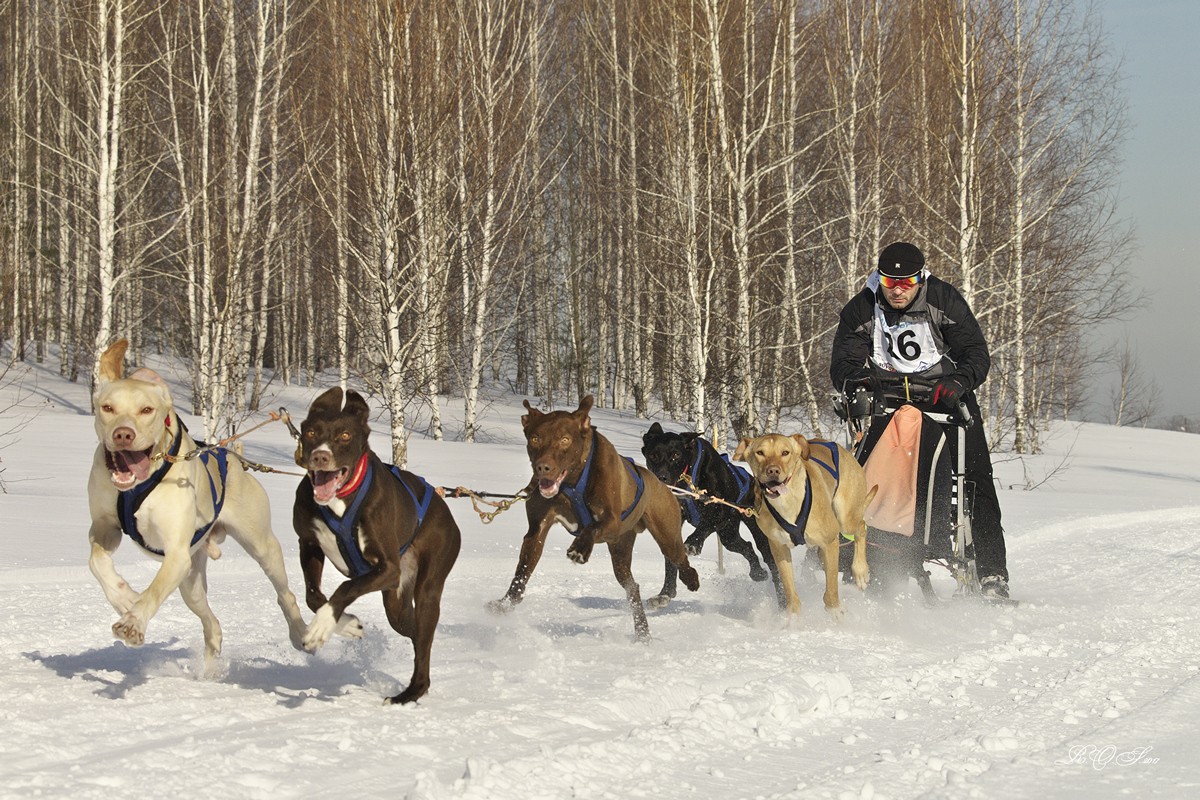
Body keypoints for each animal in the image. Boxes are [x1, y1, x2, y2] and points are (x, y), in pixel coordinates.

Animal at [87, 340, 307, 666]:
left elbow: (153, 591)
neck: (135, 488)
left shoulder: (176, 554)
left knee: (285, 594)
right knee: (211, 622)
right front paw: (125, 597)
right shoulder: (105, 529)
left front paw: (133, 621)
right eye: (108, 408)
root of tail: (234, 459)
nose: (123, 434)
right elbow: (97, 562)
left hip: (261, 547)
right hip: (190, 582)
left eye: (147, 410)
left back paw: (300, 632)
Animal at [290, 388, 458, 705]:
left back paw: (408, 694)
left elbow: (344, 588)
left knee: (423, 645)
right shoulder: (308, 544)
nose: (320, 456)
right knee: (415, 634)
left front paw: (322, 625)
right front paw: (346, 624)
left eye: (344, 435)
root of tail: (442, 504)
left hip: (429, 583)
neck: (340, 499)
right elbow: (313, 595)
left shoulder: (388, 569)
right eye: (311, 432)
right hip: (397, 602)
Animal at [489, 398, 700, 642]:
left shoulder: (611, 521)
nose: (543, 467)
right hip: (621, 551)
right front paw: (506, 603)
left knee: (680, 560)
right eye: (535, 438)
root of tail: (662, 483)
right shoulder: (537, 529)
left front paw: (579, 549)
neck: (572, 483)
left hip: (666, 536)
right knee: (632, 587)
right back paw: (642, 633)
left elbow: (592, 527)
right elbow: (522, 571)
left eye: (565, 439)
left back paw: (691, 580)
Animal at [643, 424, 772, 606]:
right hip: (728, 535)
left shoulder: (719, 510)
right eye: (653, 455)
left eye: (676, 455)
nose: (662, 478)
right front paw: (665, 593)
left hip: (755, 529)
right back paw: (757, 572)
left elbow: (705, 524)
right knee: (746, 546)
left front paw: (692, 543)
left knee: (767, 555)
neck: (688, 475)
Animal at [729, 438, 873, 618]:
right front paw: (792, 618)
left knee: (861, 527)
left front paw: (835, 611)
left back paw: (860, 570)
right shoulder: (779, 548)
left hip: (846, 519)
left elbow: (832, 587)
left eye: (785, 452)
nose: (773, 470)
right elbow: (789, 588)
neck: (787, 502)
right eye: (760, 452)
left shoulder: (829, 540)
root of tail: (838, 446)